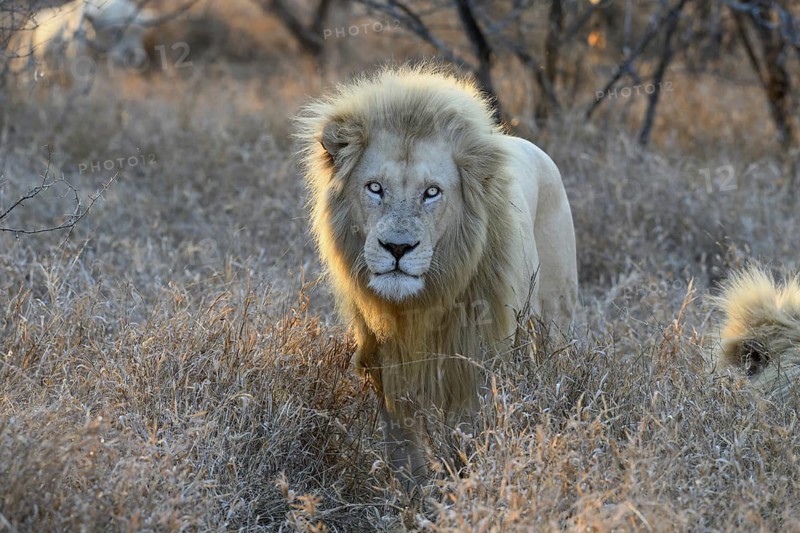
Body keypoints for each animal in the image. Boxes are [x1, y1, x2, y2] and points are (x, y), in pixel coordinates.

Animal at [296, 65, 578, 484]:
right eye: (375, 187)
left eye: (432, 192)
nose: (397, 248)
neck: (419, 305)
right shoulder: (386, 363)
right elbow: (402, 442)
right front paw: (409, 488)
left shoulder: (472, 358)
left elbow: (467, 434)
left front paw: (467, 480)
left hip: (555, 317)